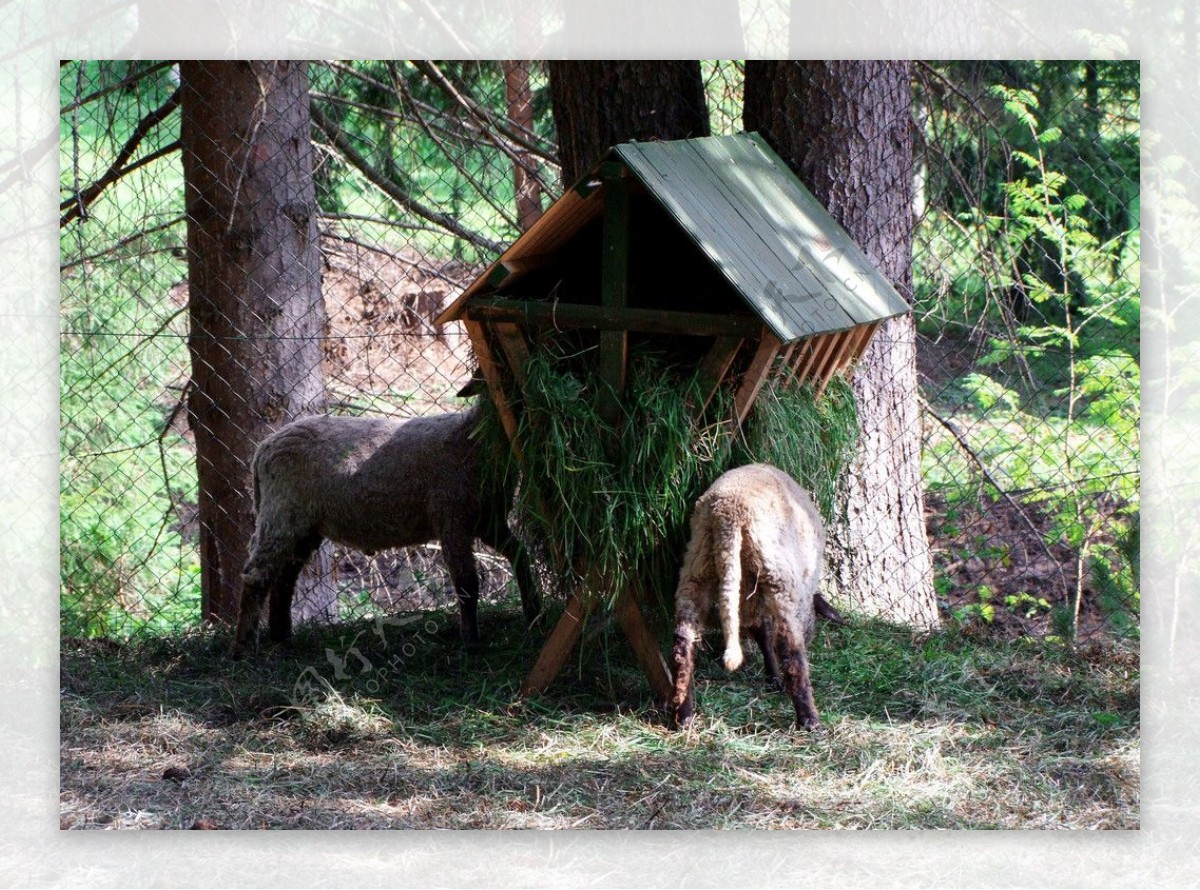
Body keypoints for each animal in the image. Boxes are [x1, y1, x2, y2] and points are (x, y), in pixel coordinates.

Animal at [230, 407, 540, 657]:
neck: (470, 437)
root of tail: (264, 449)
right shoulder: (452, 519)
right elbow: (466, 583)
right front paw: (472, 643)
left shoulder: (490, 523)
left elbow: (520, 556)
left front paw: (534, 613)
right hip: (281, 514)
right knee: (256, 574)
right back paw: (244, 648)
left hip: (304, 526)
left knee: (283, 577)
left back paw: (281, 637)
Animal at [672, 462, 830, 729]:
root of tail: (727, 514)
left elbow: (761, 630)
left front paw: (772, 676)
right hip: (778, 576)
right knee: (791, 649)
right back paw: (809, 720)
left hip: (697, 568)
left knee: (683, 640)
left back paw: (684, 716)